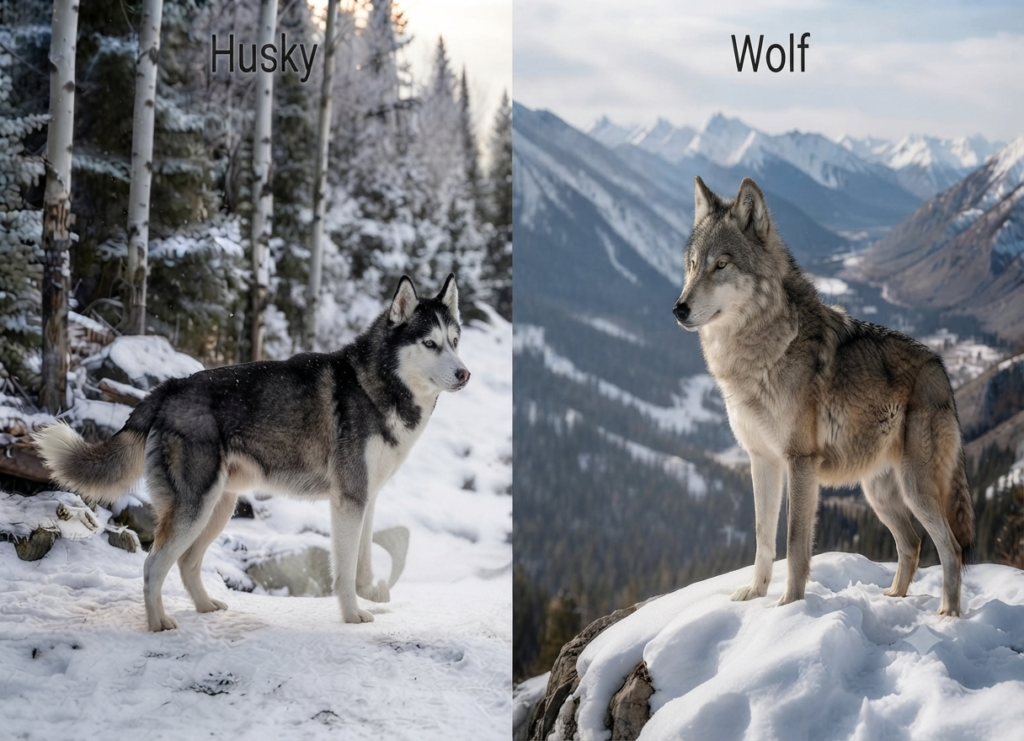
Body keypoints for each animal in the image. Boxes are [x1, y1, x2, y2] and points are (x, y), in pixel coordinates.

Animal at [35, 274, 470, 631]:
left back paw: (205, 606)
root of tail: (170, 386)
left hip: (219, 508)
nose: (464, 374)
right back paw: (159, 623)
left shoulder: (366, 498)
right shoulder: (348, 501)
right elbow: (344, 570)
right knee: (152, 565)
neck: (377, 384)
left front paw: (372, 595)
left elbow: (361, 564)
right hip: (195, 508)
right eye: (429, 343)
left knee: (187, 564)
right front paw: (351, 614)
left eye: (454, 341)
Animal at [673, 177, 974, 616]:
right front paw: (755, 594)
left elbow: (796, 542)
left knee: (950, 546)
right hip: (878, 493)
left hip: (915, 488)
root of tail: (942, 369)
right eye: (693, 265)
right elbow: (763, 537)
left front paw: (789, 606)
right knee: (912, 543)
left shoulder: (800, 462)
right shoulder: (761, 460)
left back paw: (948, 614)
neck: (762, 352)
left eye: (722, 265)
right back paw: (892, 598)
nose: (678, 308)